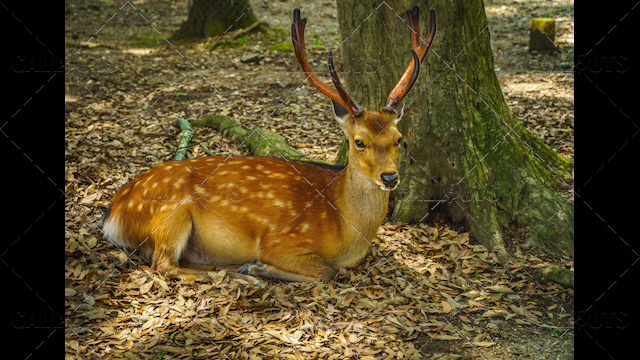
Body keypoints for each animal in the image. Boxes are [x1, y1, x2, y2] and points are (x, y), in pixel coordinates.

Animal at [104, 4, 436, 282]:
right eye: (359, 141)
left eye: (399, 139)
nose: (390, 177)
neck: (345, 230)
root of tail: (113, 212)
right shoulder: (281, 241)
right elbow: (326, 271)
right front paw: (259, 267)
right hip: (172, 213)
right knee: (163, 264)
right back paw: (238, 273)